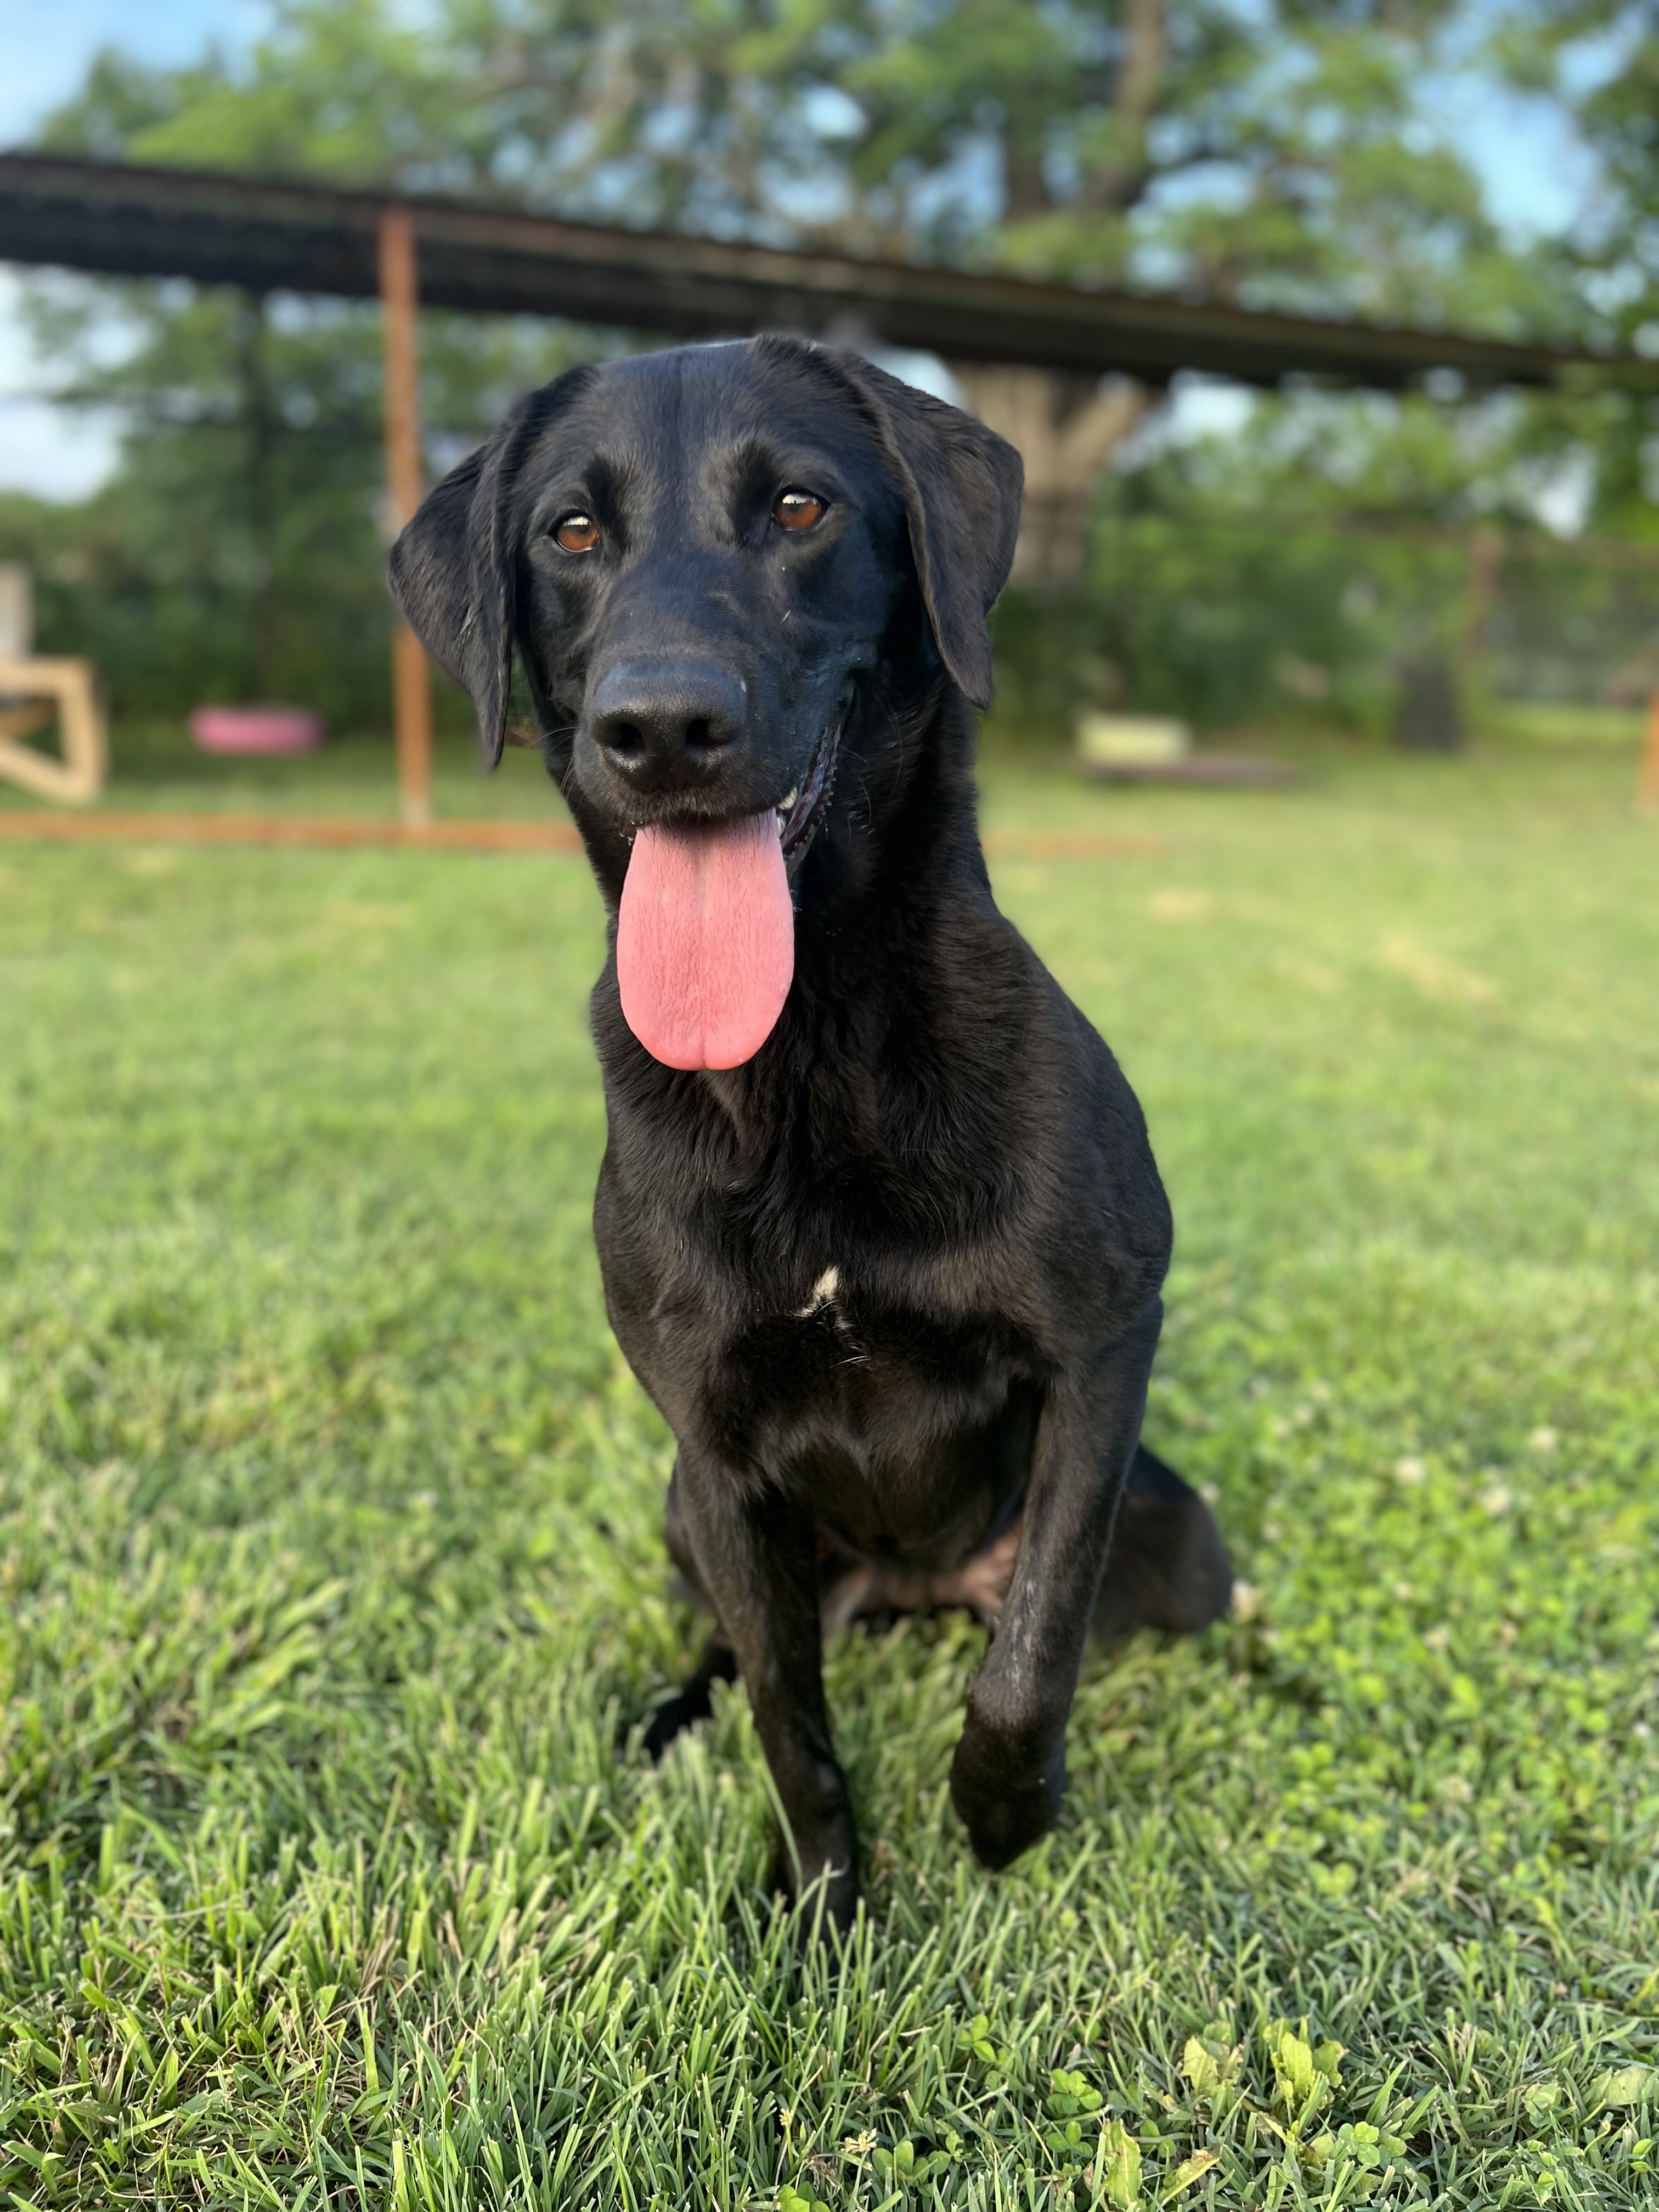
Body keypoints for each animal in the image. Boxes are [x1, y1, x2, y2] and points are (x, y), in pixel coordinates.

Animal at [387, 336, 1221, 1928]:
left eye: (798, 506)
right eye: (569, 533)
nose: (660, 729)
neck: (805, 1041)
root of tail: (909, 1587)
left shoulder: (1104, 1346)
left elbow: (1034, 1651)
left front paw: (1003, 1814)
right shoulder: (714, 1453)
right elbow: (788, 1712)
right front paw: (823, 1905)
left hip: (1179, 1529)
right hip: (681, 1509)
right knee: (733, 1646)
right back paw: (664, 1721)